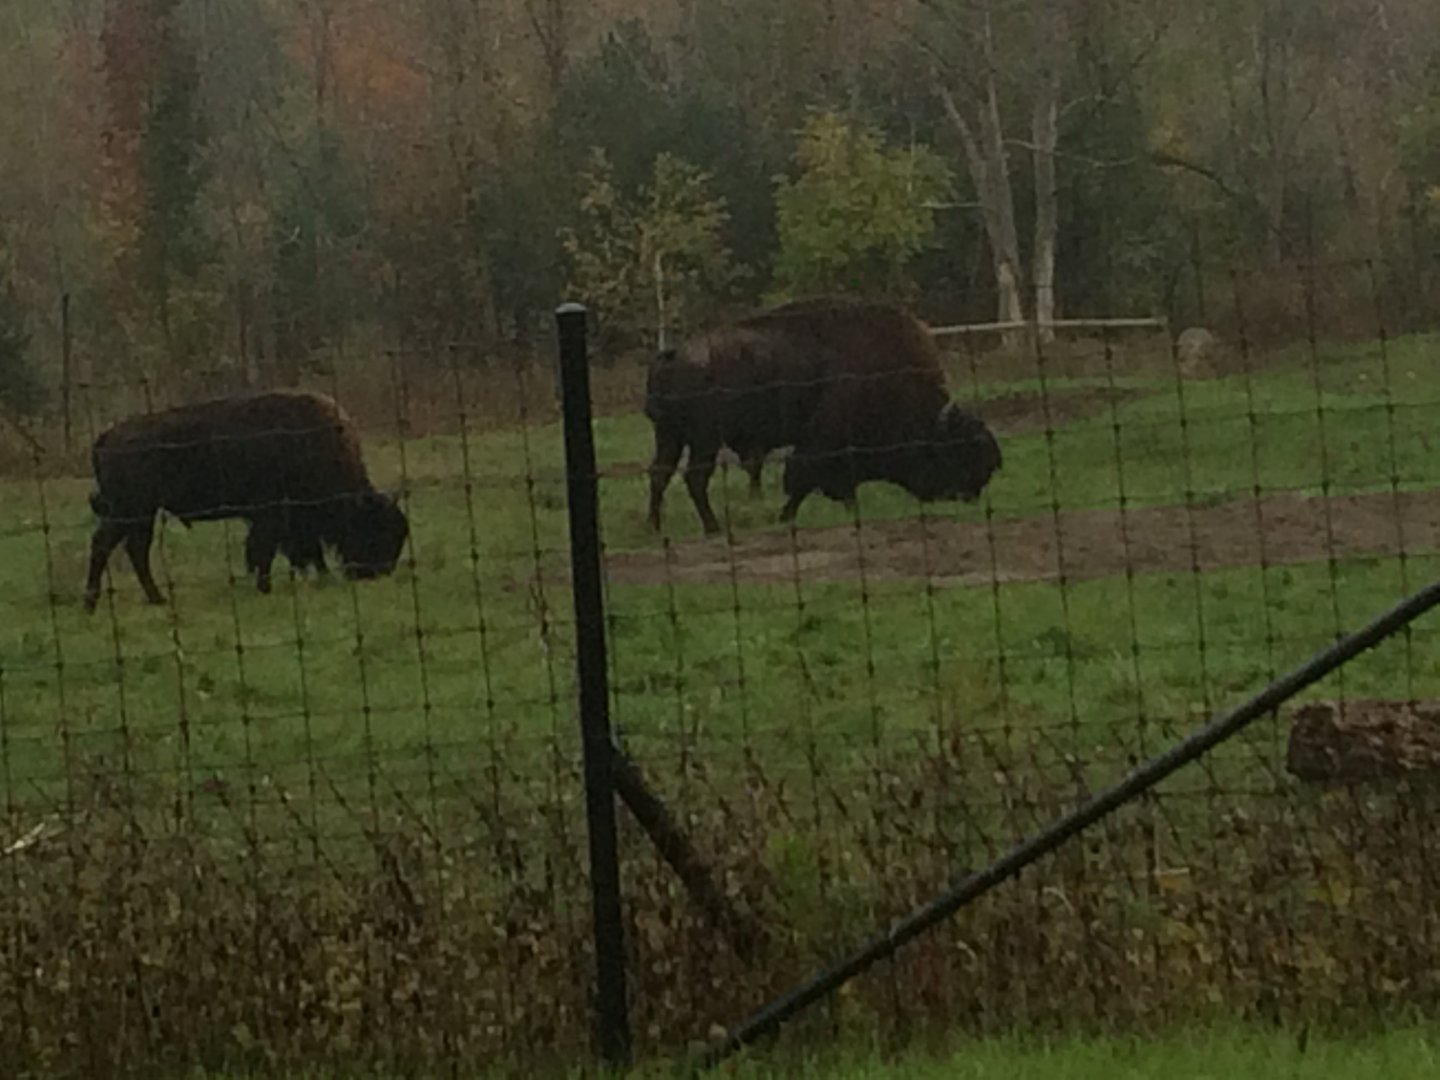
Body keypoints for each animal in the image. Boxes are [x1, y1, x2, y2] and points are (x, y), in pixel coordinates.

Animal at [83, 391, 409, 612]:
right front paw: (265, 587)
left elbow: (301, 550)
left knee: (133, 549)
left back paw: (154, 599)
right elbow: (264, 551)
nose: (377, 573)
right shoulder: (273, 515)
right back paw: (98, 602)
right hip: (131, 510)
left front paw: (320, 577)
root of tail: (107, 436)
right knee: (107, 545)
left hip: (141, 514)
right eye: (374, 528)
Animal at [645, 298, 1002, 535]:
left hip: (670, 436)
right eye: (958, 454)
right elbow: (806, 478)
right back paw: (713, 528)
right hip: (704, 439)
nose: (970, 495)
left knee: (659, 473)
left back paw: (655, 527)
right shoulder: (824, 441)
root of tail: (673, 355)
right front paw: (787, 517)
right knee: (695, 477)